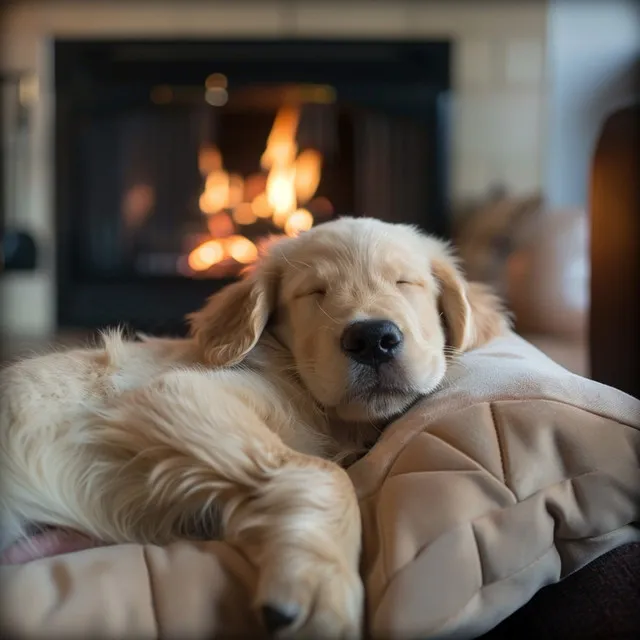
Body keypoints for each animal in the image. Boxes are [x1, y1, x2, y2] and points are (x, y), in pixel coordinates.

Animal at [0, 216, 510, 640]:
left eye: (406, 283)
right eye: (315, 292)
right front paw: (322, 584)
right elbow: (322, 471)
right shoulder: (178, 392)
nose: (372, 339)